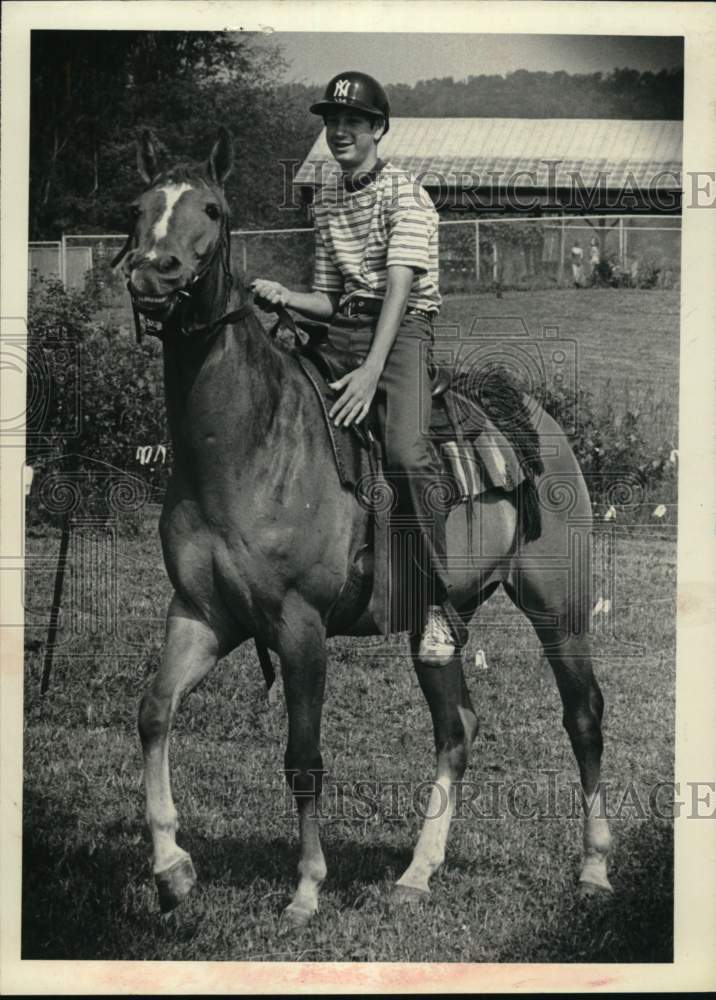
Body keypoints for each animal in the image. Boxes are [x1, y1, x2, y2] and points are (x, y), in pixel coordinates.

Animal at [120, 131, 612, 928]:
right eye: (139, 208)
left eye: (213, 209)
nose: (152, 274)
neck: (250, 444)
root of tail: (535, 419)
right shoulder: (202, 615)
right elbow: (155, 713)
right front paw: (171, 869)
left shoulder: (300, 627)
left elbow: (303, 758)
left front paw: (307, 888)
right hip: (434, 622)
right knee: (457, 729)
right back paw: (418, 872)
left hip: (558, 609)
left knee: (583, 718)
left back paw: (594, 869)